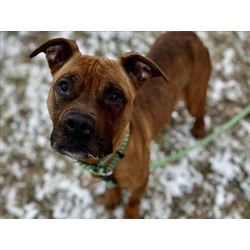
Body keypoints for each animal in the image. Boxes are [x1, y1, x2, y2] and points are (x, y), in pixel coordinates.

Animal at [30, 31, 212, 219]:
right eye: (63, 86)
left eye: (115, 96)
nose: (79, 123)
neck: (107, 161)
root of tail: (188, 34)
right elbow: (112, 187)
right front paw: (112, 196)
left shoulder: (141, 181)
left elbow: (133, 200)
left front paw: (130, 214)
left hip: (194, 98)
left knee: (200, 112)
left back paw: (199, 129)